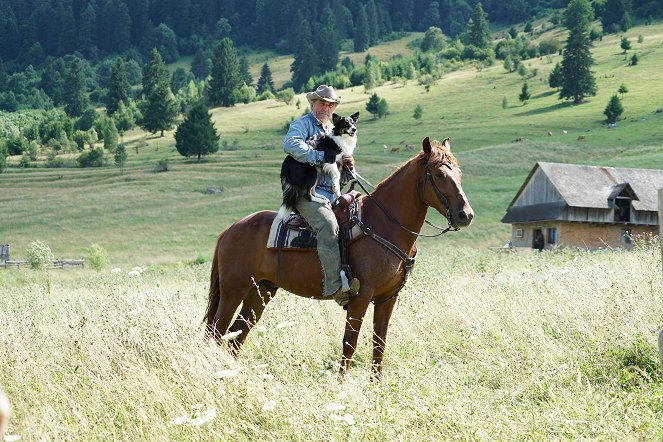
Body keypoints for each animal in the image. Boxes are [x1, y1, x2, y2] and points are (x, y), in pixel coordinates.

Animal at [205, 136, 474, 374]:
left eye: (460, 173)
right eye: (439, 174)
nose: (466, 215)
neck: (384, 224)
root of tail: (230, 229)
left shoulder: (388, 298)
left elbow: (379, 343)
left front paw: (376, 387)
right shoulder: (361, 296)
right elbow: (350, 342)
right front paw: (341, 383)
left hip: (260, 291)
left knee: (237, 335)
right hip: (233, 290)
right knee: (216, 333)